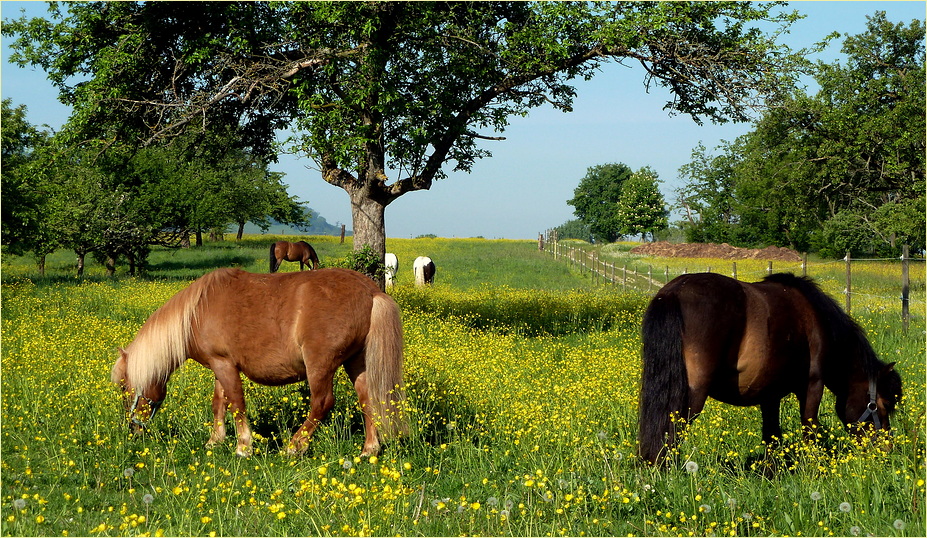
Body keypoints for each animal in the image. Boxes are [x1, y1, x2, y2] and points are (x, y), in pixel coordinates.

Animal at [110, 266, 408, 454]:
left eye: (125, 387)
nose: (133, 429)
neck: (197, 311)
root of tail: (371, 292)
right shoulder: (220, 366)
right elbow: (219, 403)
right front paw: (215, 441)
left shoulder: (225, 365)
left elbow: (236, 403)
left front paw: (244, 446)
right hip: (357, 362)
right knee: (368, 400)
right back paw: (369, 449)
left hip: (320, 365)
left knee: (322, 403)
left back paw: (294, 447)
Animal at [640, 270, 900, 462]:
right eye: (884, 404)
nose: (887, 450)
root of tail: (673, 293)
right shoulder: (812, 385)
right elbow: (809, 428)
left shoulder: (769, 394)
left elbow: (772, 435)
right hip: (692, 395)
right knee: (674, 432)